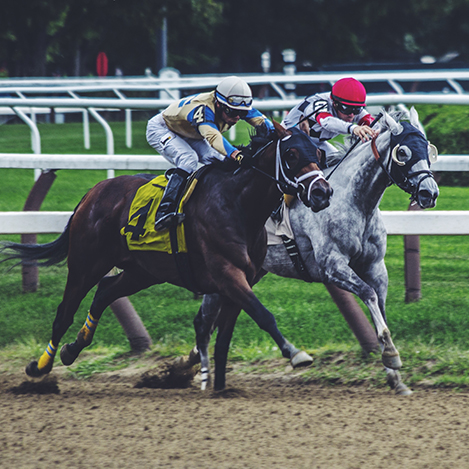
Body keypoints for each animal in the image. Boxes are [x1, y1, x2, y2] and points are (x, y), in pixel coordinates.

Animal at [0, 119, 332, 386]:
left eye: (318, 154)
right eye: (291, 155)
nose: (322, 193)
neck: (238, 204)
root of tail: (93, 192)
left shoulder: (243, 279)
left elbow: (224, 336)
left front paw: (220, 386)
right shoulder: (227, 275)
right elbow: (263, 315)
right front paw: (295, 353)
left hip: (143, 270)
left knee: (105, 292)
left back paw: (72, 349)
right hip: (86, 263)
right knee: (64, 313)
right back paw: (40, 366)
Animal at [186, 108, 438, 394]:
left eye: (429, 150)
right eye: (403, 152)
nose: (429, 193)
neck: (354, 201)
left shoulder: (375, 266)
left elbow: (381, 307)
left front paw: (395, 376)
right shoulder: (332, 267)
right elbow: (368, 294)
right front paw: (391, 355)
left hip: (247, 274)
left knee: (208, 322)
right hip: (222, 272)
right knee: (203, 324)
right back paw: (201, 376)